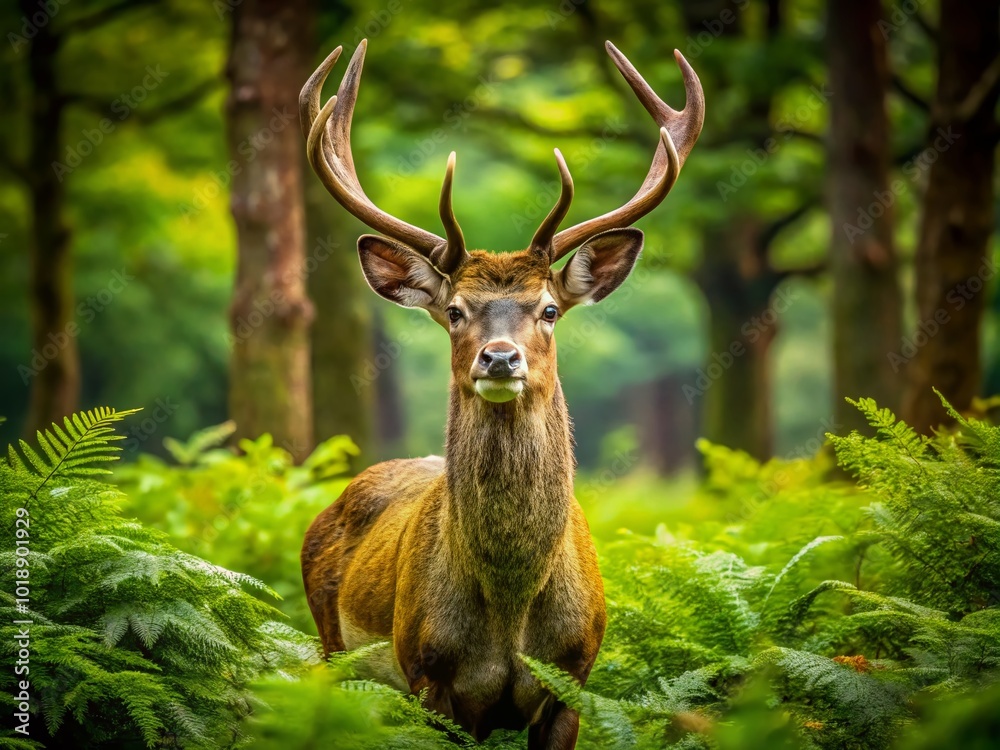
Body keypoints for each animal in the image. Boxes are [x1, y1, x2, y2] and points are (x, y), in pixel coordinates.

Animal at [299, 39, 703, 749]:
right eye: (455, 311)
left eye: (549, 309)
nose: (499, 356)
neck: (511, 617)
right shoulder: (427, 676)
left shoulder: (576, 677)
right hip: (332, 648)